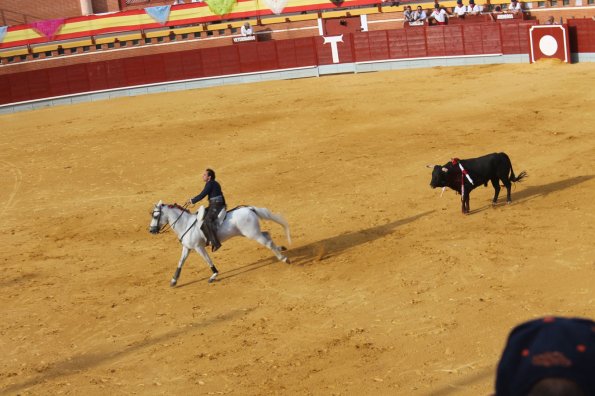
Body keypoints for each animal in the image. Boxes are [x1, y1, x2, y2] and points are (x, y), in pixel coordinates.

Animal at [150, 200, 292, 286]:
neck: (185, 224)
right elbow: (180, 262)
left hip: (252, 234)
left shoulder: (198, 247)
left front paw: (214, 275)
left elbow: (207, 260)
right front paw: (174, 280)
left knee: (267, 242)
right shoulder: (187, 247)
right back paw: (281, 249)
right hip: (252, 233)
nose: (151, 230)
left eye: (156, 216)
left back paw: (284, 258)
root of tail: (249, 209)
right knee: (267, 235)